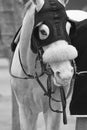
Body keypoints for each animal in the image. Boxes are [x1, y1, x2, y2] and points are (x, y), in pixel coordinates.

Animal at [9, 0, 78, 130]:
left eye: (68, 28)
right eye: (43, 32)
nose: (65, 74)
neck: (32, 72)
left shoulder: (54, 109)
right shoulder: (25, 110)